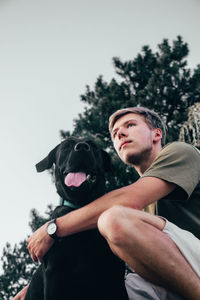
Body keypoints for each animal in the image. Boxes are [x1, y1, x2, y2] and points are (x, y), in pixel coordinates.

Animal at [25, 137, 128, 300]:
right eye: (66, 146)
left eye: (93, 146)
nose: (82, 147)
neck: (82, 207)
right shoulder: (55, 273)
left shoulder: (114, 275)